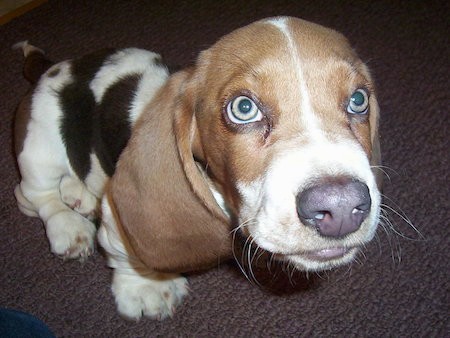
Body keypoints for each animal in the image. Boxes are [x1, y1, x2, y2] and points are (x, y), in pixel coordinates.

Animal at [14, 15, 382, 320]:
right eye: (243, 108)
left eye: (358, 100)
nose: (341, 207)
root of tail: (56, 67)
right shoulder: (117, 213)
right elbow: (126, 254)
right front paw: (144, 288)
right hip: (39, 152)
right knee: (33, 196)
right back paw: (67, 226)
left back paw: (79, 195)